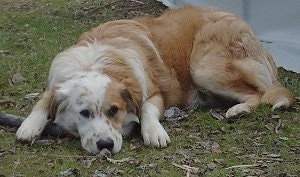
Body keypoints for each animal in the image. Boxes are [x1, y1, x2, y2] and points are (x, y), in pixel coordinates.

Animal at [15, 6, 294, 153]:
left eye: (114, 110)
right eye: (84, 113)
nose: (105, 145)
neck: (93, 61)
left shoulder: (155, 93)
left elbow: (147, 109)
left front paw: (154, 132)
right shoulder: (56, 83)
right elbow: (43, 101)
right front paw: (28, 126)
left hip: (202, 68)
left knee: (258, 94)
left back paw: (238, 110)